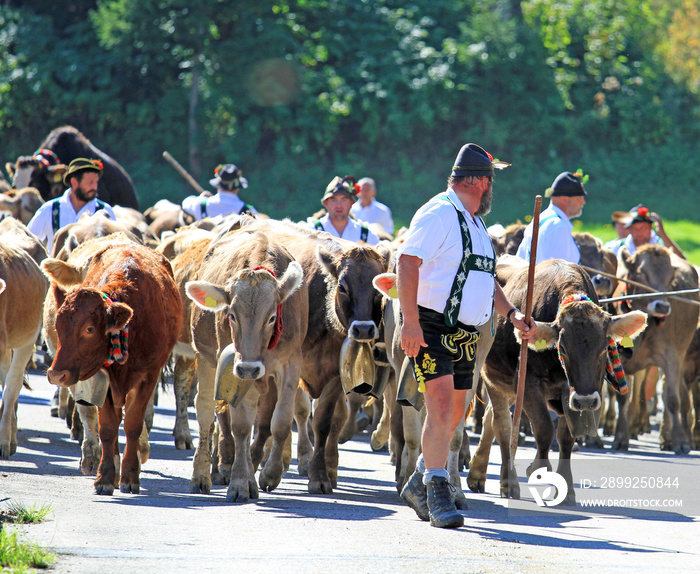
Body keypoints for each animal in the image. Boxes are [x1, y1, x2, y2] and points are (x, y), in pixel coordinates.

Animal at [42, 243, 182, 496]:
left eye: (89, 329)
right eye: (58, 325)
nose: (57, 375)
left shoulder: (148, 376)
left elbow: (133, 424)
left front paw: (130, 475)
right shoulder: (103, 377)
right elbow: (108, 427)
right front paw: (106, 476)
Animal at [468, 258, 648, 506]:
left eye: (604, 348)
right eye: (563, 348)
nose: (585, 400)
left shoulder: (573, 394)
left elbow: (565, 437)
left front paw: (567, 488)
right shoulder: (528, 383)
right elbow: (544, 428)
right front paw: (537, 469)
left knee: (489, 420)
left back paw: (477, 474)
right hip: (492, 378)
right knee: (502, 425)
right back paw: (508, 482)